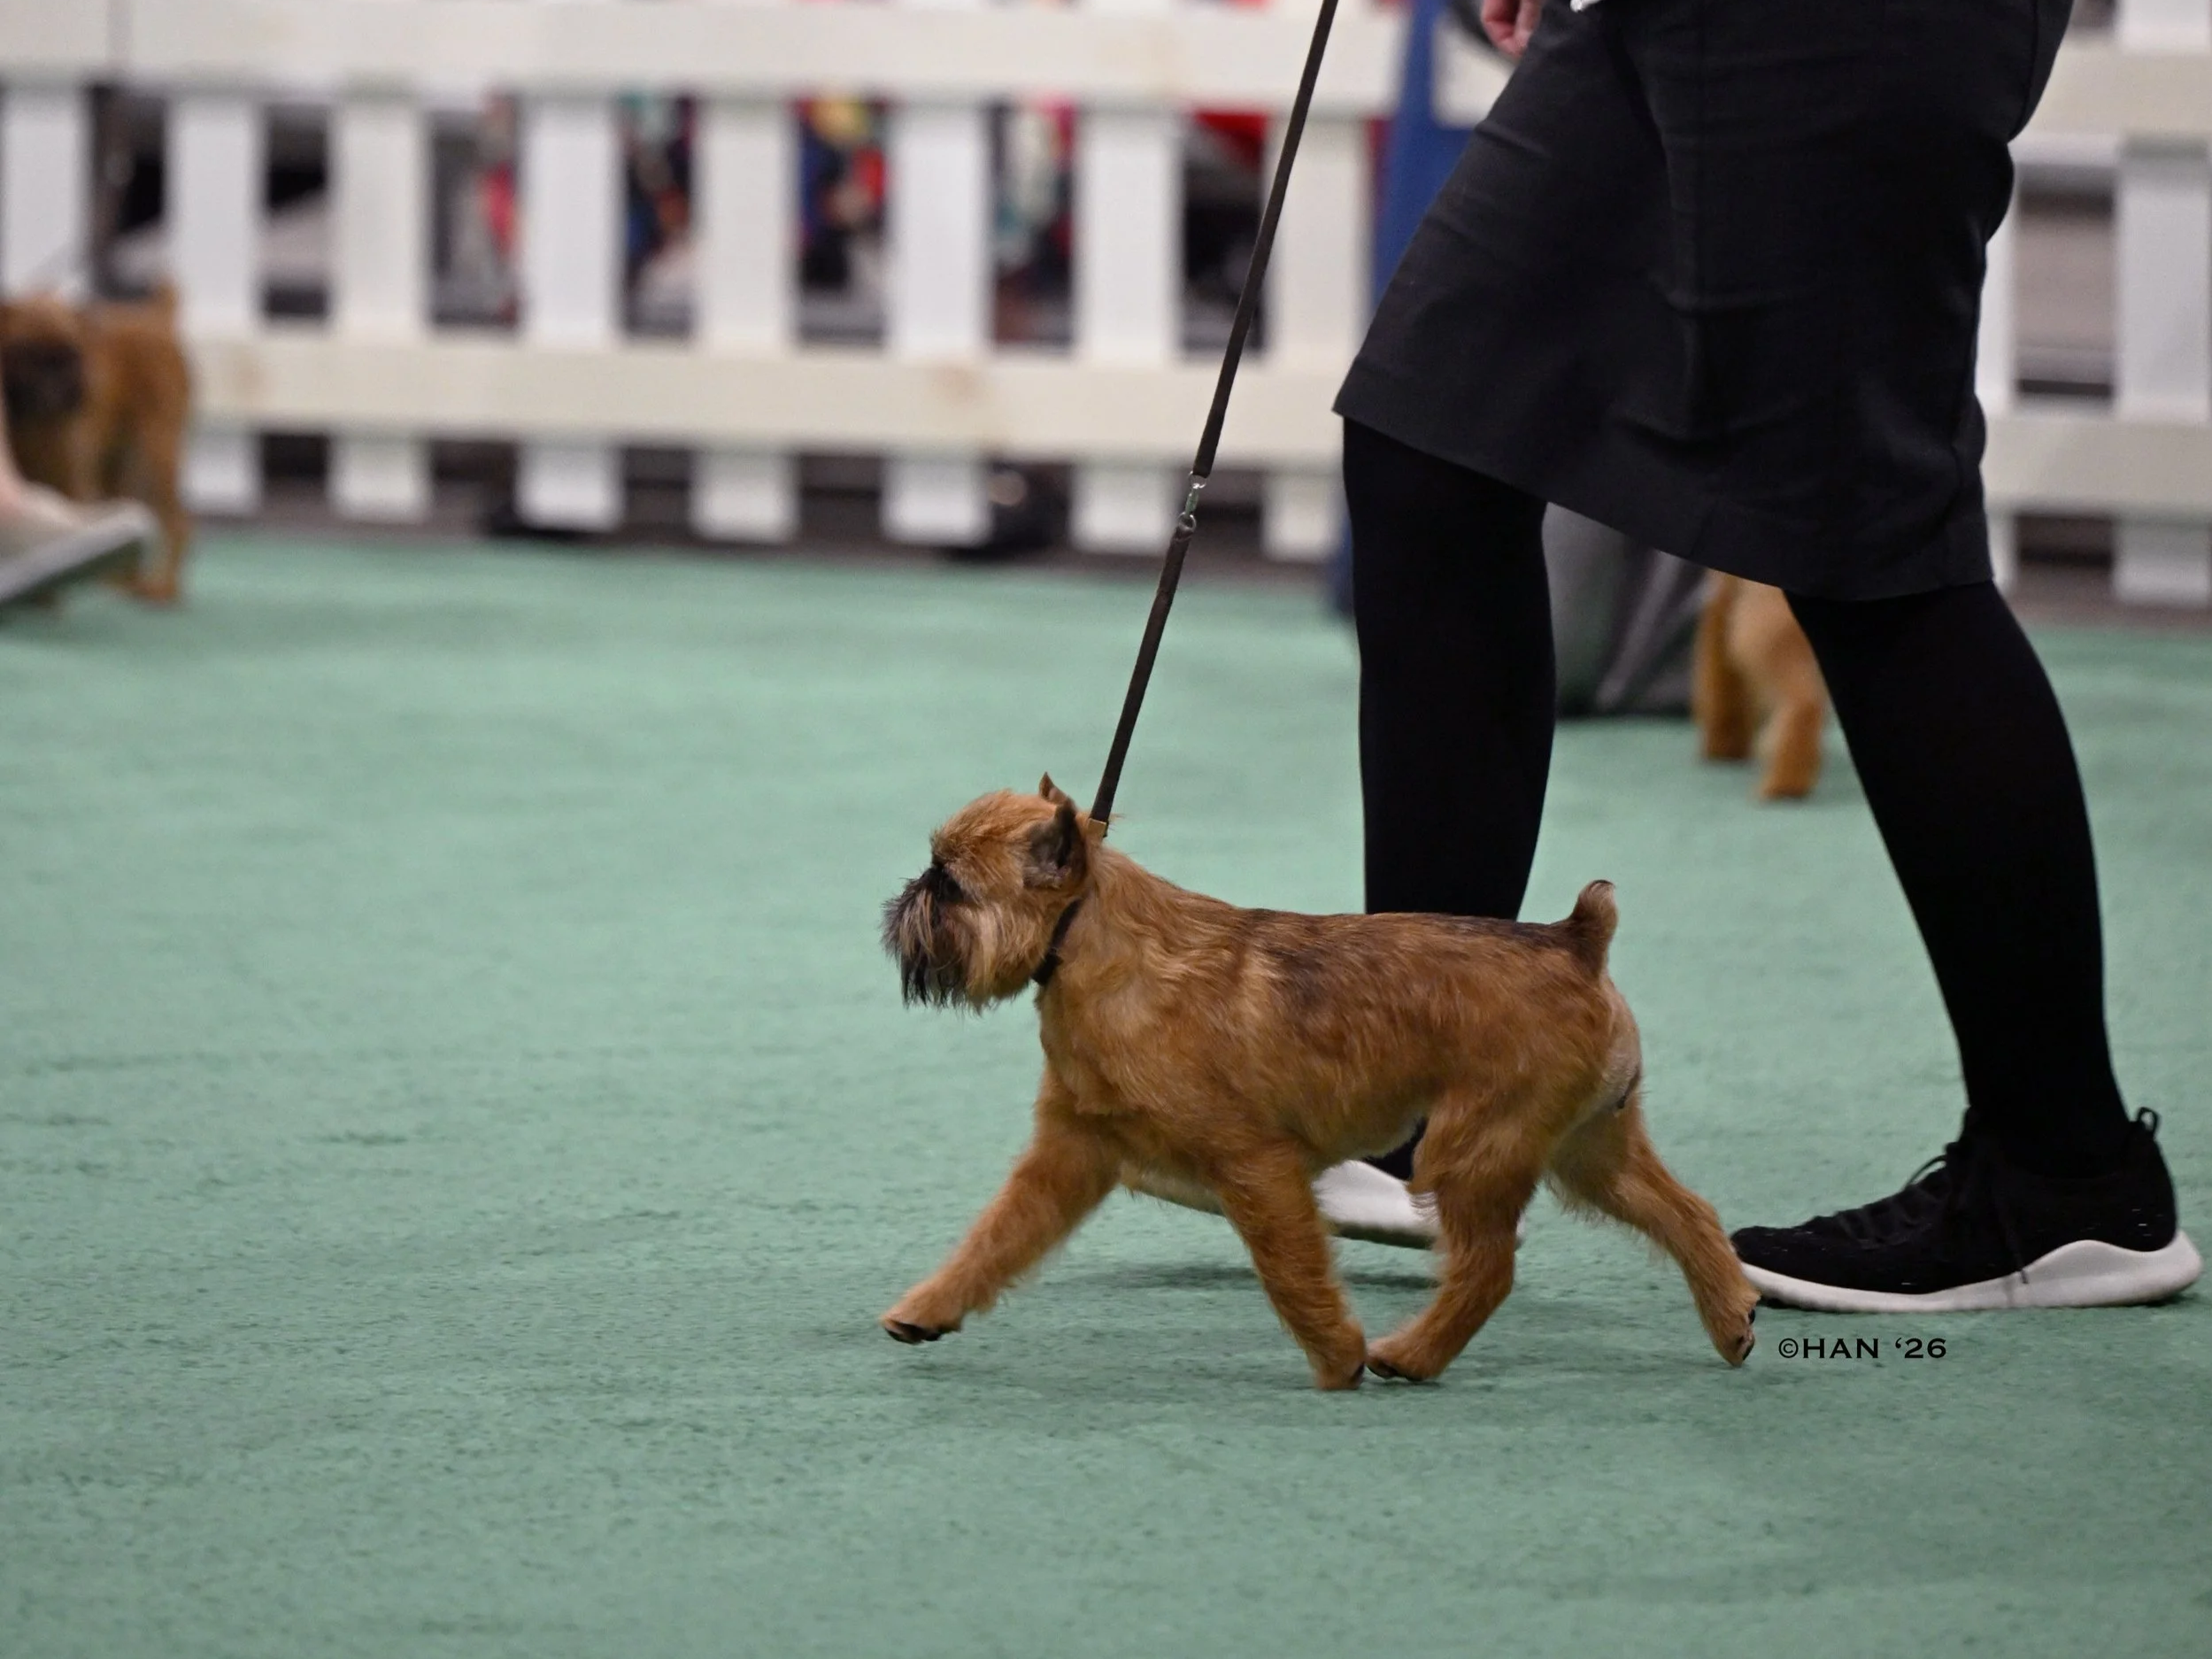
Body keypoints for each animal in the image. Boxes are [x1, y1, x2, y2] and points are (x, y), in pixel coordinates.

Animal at [0, 286, 193, 604]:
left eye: (72, 355)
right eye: (26, 353)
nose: (61, 386)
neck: (35, 422)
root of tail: (156, 315)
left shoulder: (72, 479)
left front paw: (49, 597)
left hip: (155, 453)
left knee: (178, 521)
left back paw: (164, 588)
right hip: (118, 467)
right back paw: (124, 581)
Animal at [878, 778, 1757, 1389]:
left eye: (951, 885)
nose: (904, 897)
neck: (1098, 946)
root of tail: (1576, 944)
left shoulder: (1255, 1166)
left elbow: (1292, 1271)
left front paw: (1337, 1360)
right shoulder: (1068, 1157)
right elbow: (996, 1237)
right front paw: (929, 1309)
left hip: (1470, 1152)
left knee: (1489, 1268)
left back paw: (1411, 1355)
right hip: (1589, 1151)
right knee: (1685, 1211)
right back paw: (1730, 1317)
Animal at [1693, 573, 1828, 800]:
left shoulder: (1723, 602)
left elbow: (1722, 685)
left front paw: (1722, 747)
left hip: (1764, 628)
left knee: (1804, 702)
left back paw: (1784, 785)